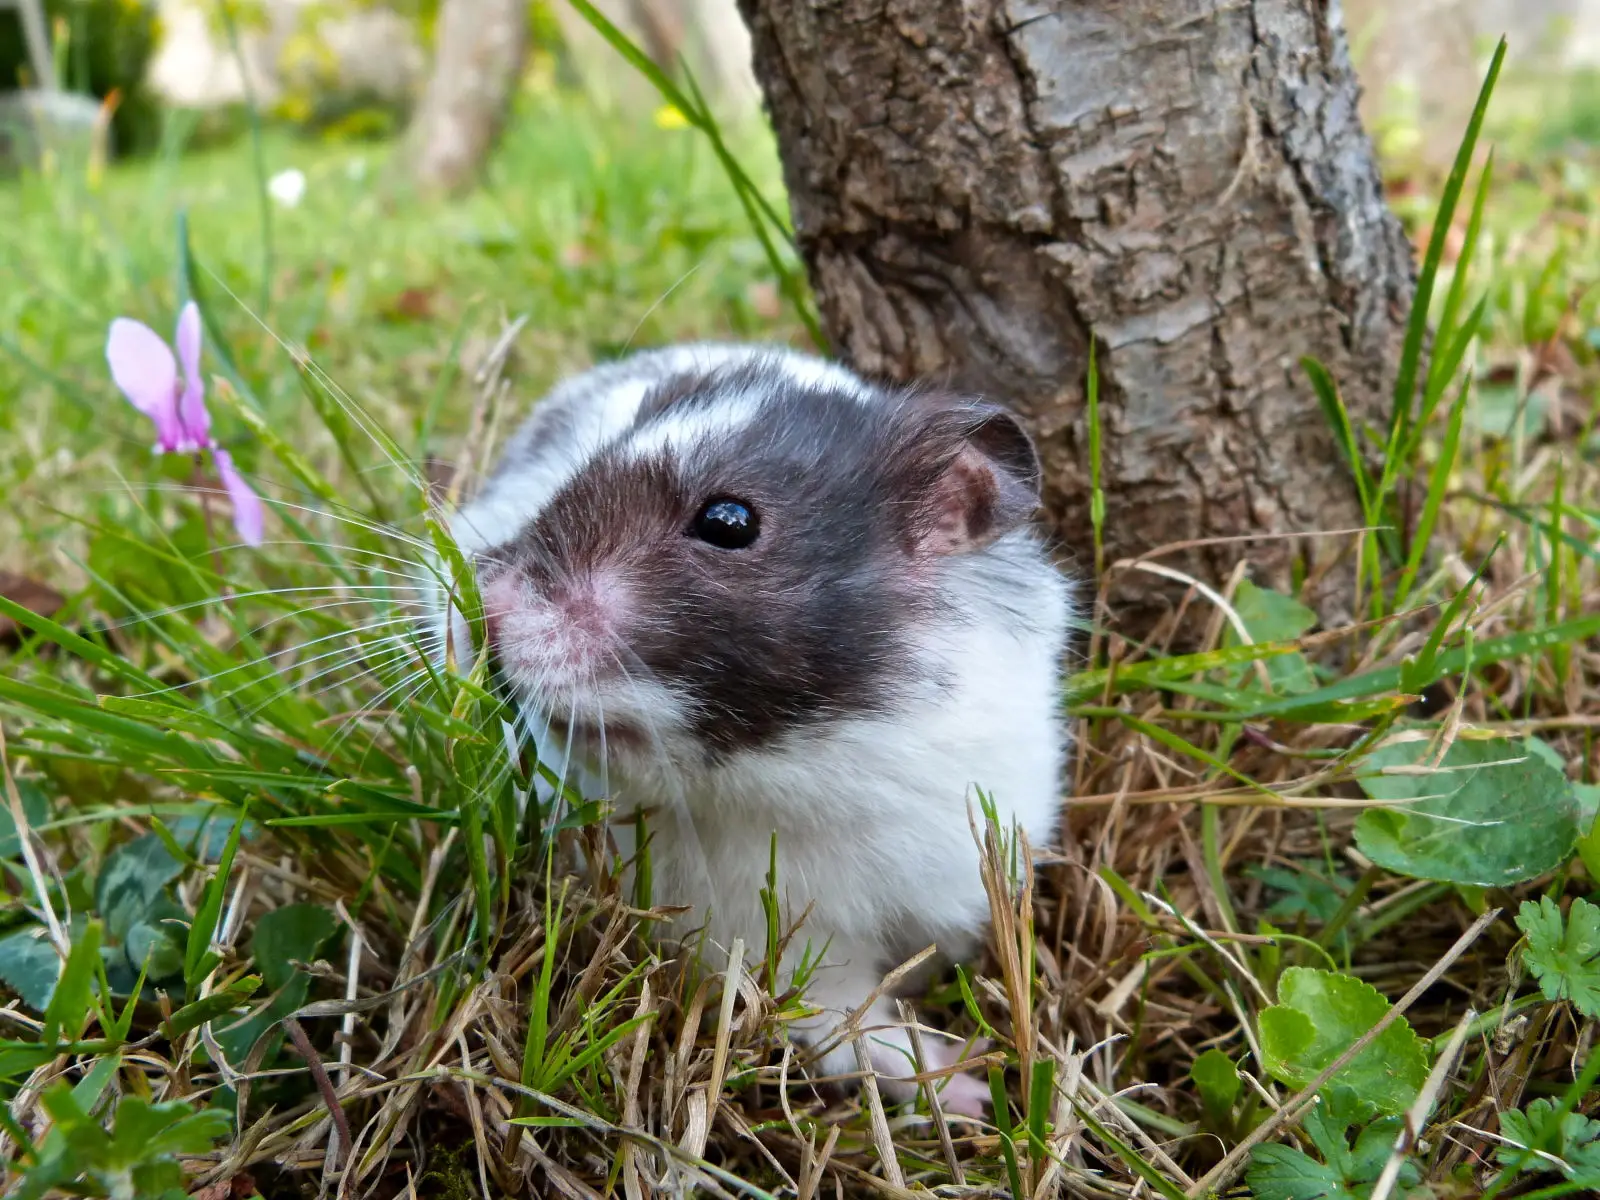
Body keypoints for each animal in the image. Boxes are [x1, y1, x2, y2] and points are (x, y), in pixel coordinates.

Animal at [434, 343, 1073, 1117]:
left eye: (729, 522)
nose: (481, 605)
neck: (820, 762)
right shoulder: (781, 950)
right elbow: (858, 1029)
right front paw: (970, 1087)